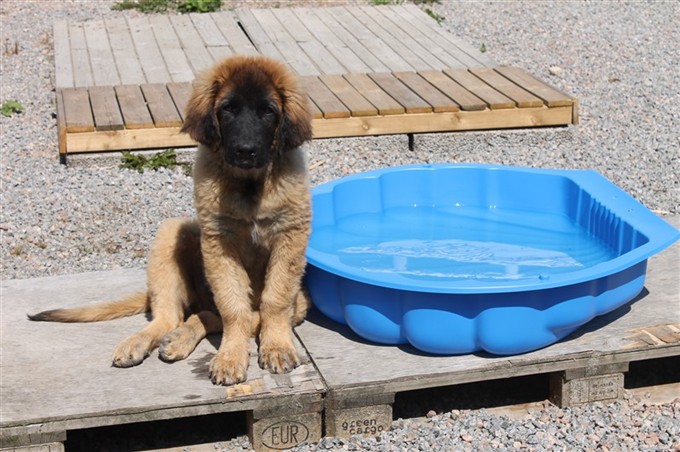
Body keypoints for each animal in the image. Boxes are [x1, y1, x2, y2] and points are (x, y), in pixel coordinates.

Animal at [27, 56, 314, 386]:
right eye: (228, 109)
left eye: (268, 111)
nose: (245, 150)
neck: (249, 184)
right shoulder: (219, 242)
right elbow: (234, 308)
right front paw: (231, 357)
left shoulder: (289, 237)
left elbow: (273, 302)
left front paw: (276, 347)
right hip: (172, 233)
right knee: (173, 316)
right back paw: (142, 341)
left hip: (300, 302)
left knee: (214, 316)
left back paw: (179, 339)